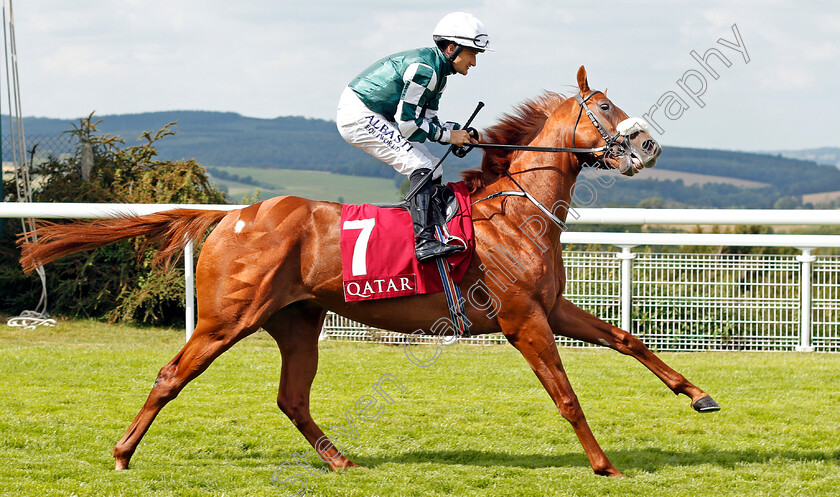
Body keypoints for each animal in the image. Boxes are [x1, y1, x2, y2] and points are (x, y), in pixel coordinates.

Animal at [19, 67, 716, 476]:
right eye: (605, 107)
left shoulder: (550, 307)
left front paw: (698, 394)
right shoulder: (522, 319)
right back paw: (121, 453)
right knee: (171, 376)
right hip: (226, 319)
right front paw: (604, 465)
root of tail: (232, 215)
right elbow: (566, 394)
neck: (515, 210)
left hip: (296, 321)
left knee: (291, 397)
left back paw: (339, 460)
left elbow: (628, 339)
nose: (650, 144)